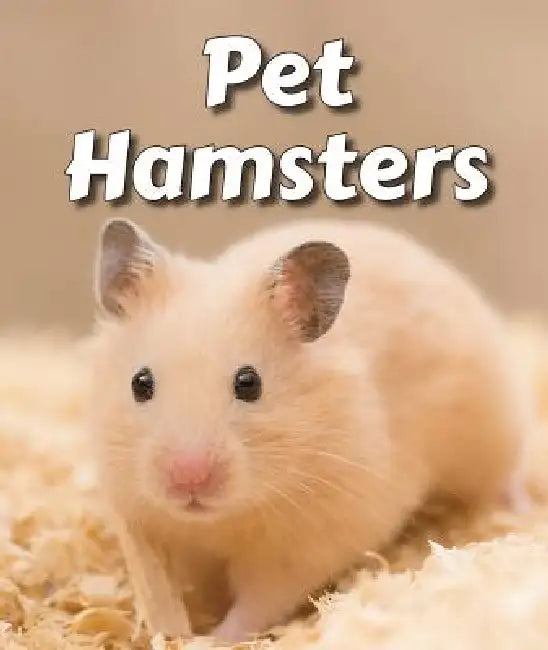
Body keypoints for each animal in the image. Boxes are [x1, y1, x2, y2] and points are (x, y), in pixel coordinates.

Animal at [88, 217, 533, 643]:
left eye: (249, 383)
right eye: (140, 383)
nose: (188, 480)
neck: (217, 519)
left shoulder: (307, 543)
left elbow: (257, 602)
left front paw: (213, 638)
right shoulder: (136, 521)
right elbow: (156, 588)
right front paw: (170, 632)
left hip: (493, 429)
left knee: (504, 475)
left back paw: (519, 513)